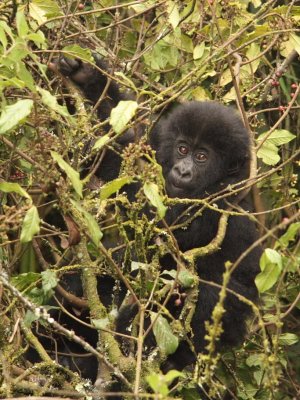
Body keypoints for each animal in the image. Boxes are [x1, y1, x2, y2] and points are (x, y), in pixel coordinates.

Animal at [55, 54, 262, 376]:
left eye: (201, 157)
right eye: (182, 149)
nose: (182, 171)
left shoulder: (217, 203)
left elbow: (160, 220)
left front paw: (97, 152)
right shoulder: (158, 145)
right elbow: (133, 134)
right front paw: (87, 76)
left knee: (205, 295)